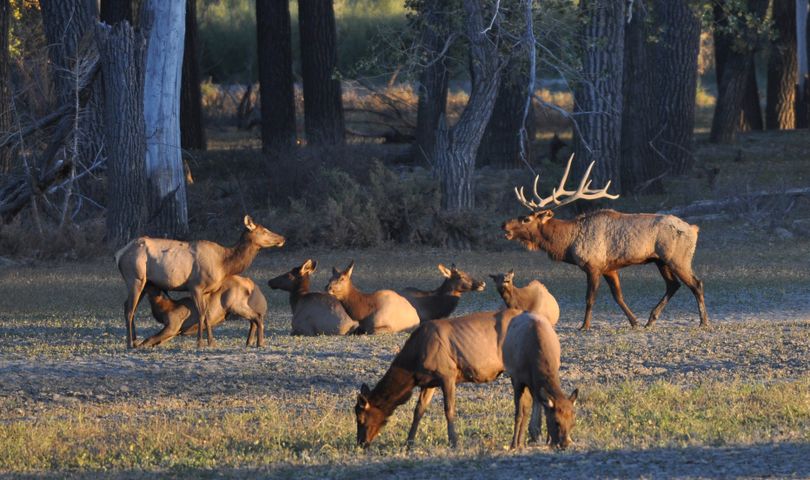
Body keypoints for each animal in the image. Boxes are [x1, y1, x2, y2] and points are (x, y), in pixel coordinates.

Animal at [137, 274, 266, 348]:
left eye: (149, 282)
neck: (163, 307)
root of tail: (250, 283)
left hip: (235, 305)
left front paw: (138, 346)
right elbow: (156, 341)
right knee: (253, 320)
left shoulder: (173, 326)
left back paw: (260, 343)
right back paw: (249, 342)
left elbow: (150, 338)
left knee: (257, 316)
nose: (141, 281)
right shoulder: (176, 331)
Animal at [354, 308, 576, 450]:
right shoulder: (428, 382)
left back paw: (535, 433)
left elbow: (449, 409)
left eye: (361, 418)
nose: (361, 443)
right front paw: (408, 443)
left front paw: (454, 441)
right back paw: (534, 434)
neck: (412, 367)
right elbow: (418, 411)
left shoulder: (447, 374)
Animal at [502, 154, 704, 330]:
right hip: (661, 261)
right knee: (673, 285)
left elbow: (590, 298)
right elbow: (618, 296)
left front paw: (584, 326)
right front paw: (634, 322)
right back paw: (650, 319)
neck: (568, 244)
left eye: (526, 219)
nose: (504, 225)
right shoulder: (609, 268)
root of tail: (694, 229)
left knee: (696, 283)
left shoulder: (594, 266)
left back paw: (704, 322)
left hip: (678, 258)